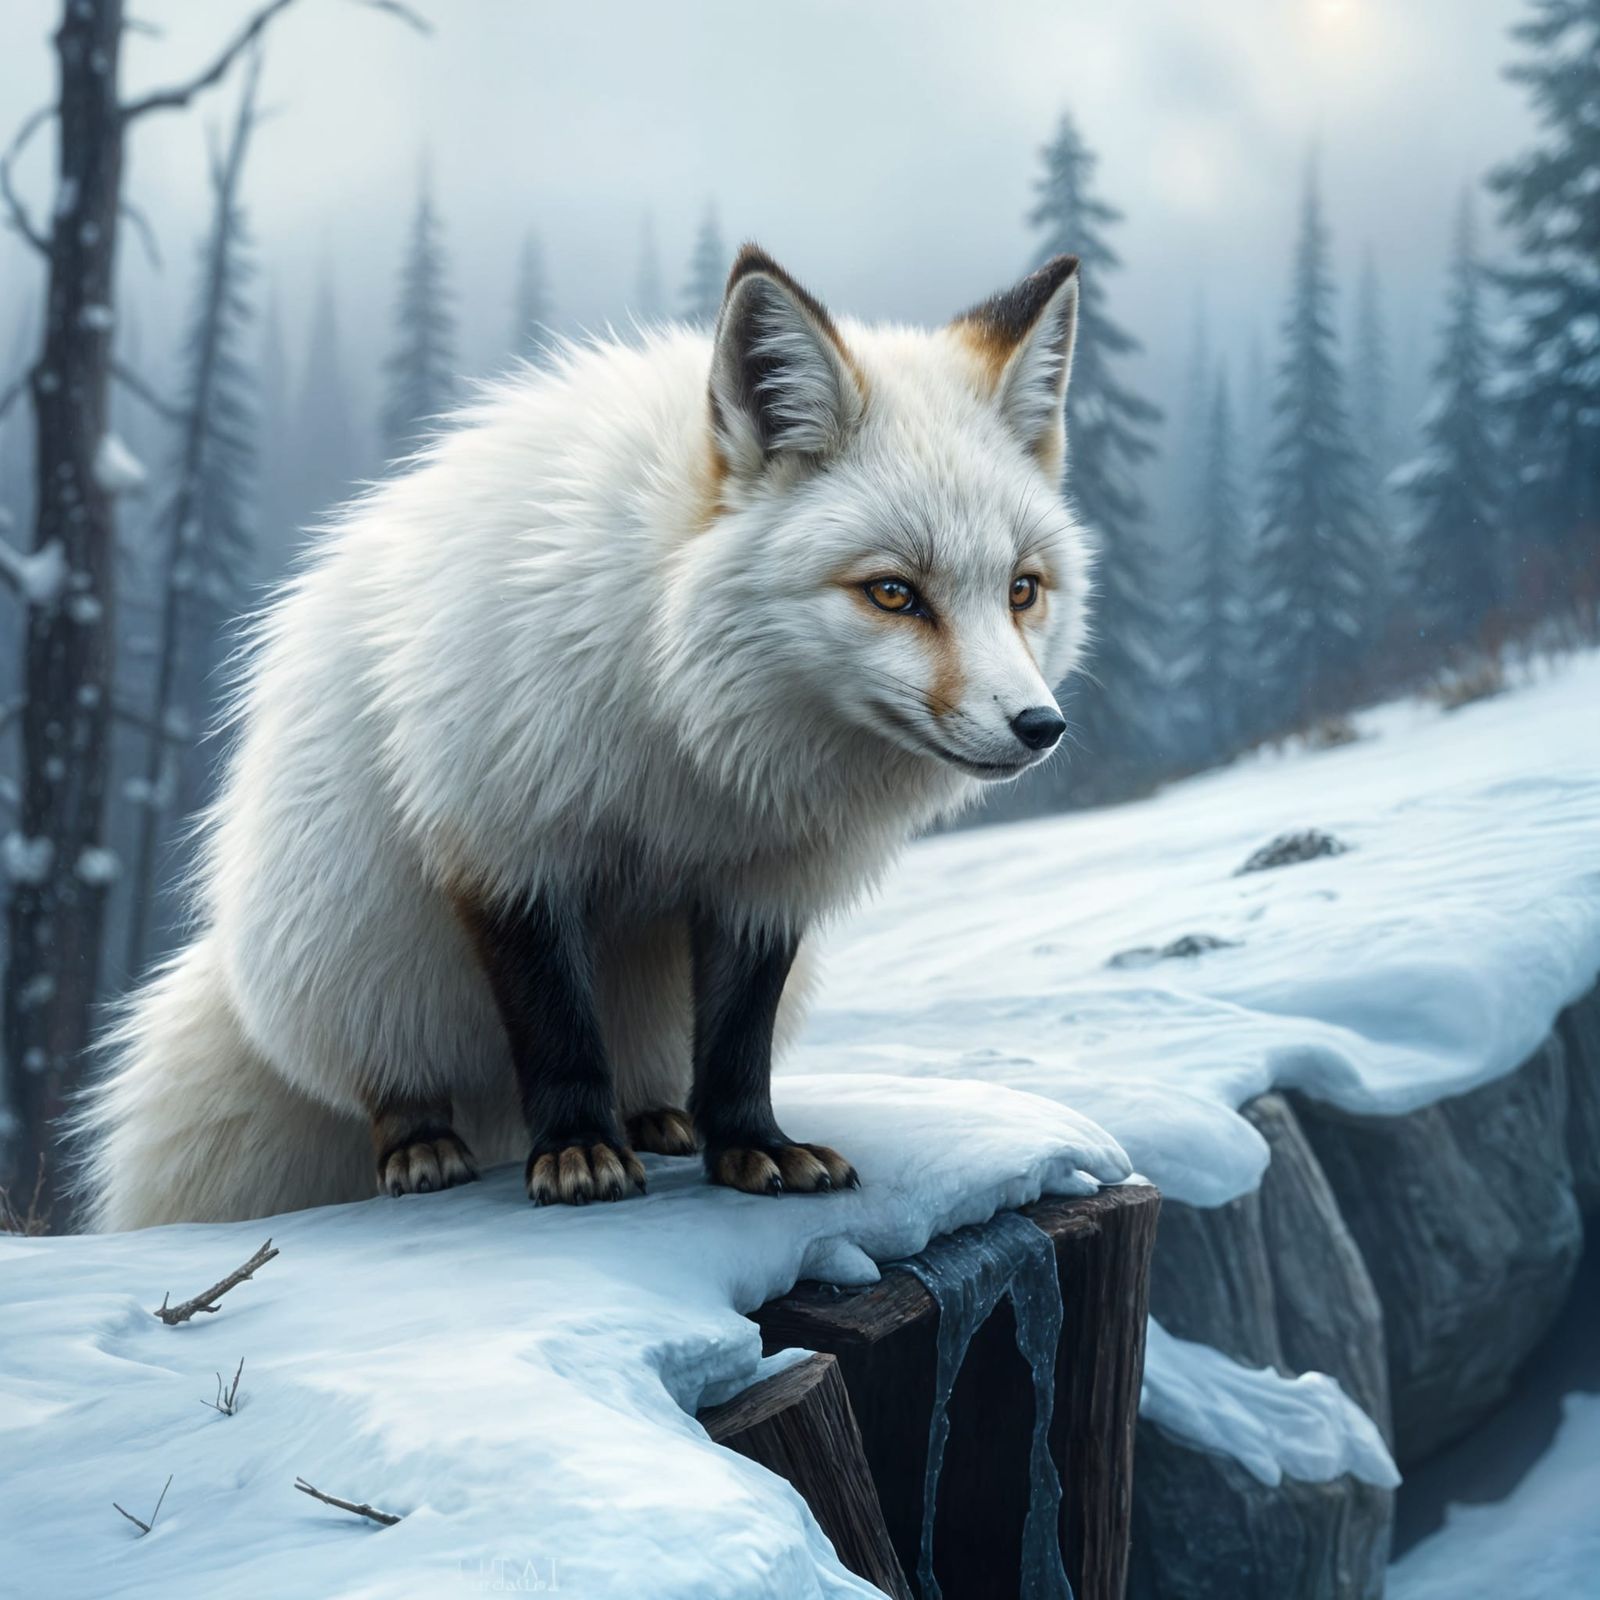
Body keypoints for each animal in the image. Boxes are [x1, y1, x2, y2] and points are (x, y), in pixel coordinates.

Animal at [78, 245, 1092, 1230]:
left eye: (1021, 589)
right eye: (892, 592)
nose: (1041, 728)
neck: (690, 736)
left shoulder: (762, 881)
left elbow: (738, 1041)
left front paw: (750, 1148)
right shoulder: (508, 844)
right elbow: (557, 1028)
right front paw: (575, 1153)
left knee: (650, 1062)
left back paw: (656, 1118)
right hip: (361, 961)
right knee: (393, 1079)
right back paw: (425, 1143)